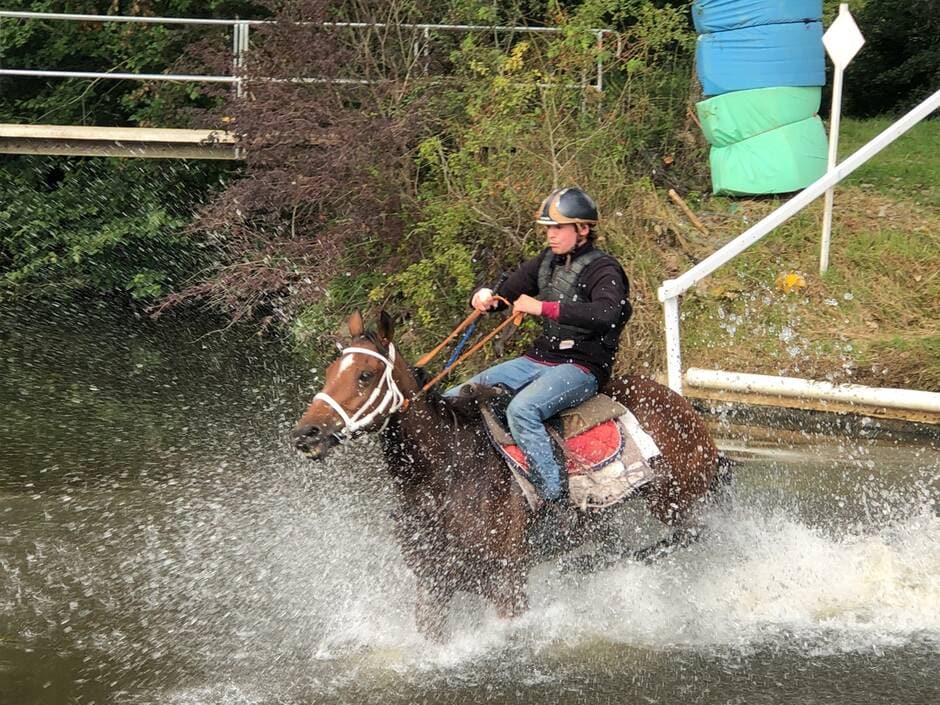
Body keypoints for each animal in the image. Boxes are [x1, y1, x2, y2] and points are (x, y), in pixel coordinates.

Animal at [290, 308, 724, 640]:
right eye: (330, 372)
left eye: (364, 375)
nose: (305, 433)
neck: (451, 474)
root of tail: (678, 402)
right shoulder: (431, 587)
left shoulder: (507, 584)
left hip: (674, 498)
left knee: (692, 534)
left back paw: (583, 565)